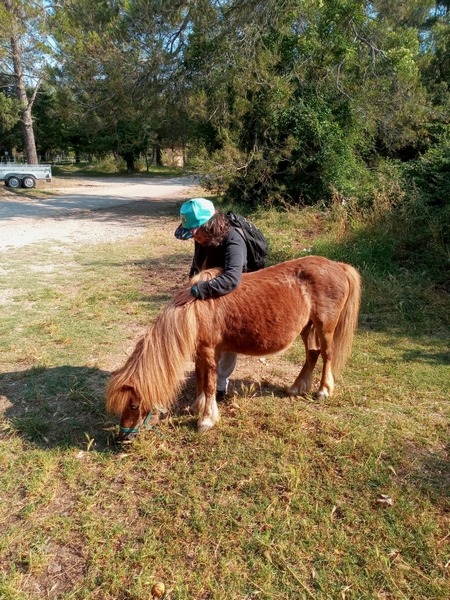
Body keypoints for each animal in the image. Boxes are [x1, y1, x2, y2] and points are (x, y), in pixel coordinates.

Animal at [106, 255, 362, 438]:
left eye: (132, 405)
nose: (123, 437)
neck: (195, 310)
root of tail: (338, 266)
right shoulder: (201, 352)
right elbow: (200, 379)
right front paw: (198, 407)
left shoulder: (209, 351)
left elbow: (209, 382)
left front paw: (206, 419)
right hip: (307, 327)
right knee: (312, 354)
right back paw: (296, 388)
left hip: (324, 326)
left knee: (327, 354)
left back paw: (323, 391)